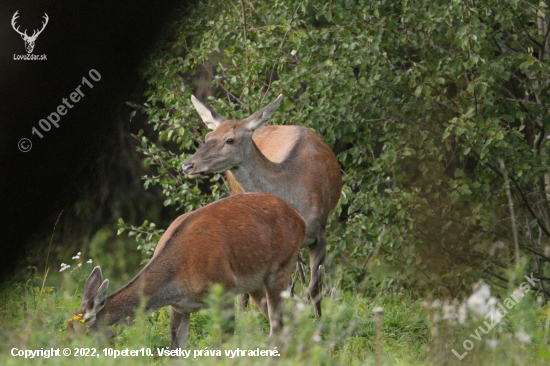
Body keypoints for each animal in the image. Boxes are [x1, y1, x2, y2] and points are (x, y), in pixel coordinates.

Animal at [68, 193, 306, 348]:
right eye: (66, 328)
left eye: (79, 335)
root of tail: (300, 219)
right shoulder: (179, 307)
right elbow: (174, 351)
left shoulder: (225, 288)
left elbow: (224, 345)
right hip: (254, 284)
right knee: (288, 318)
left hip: (283, 265)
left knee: (278, 325)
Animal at [183, 95, 342, 318]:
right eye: (208, 136)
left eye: (230, 140)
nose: (188, 165)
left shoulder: (321, 230)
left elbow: (314, 288)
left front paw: (320, 323)